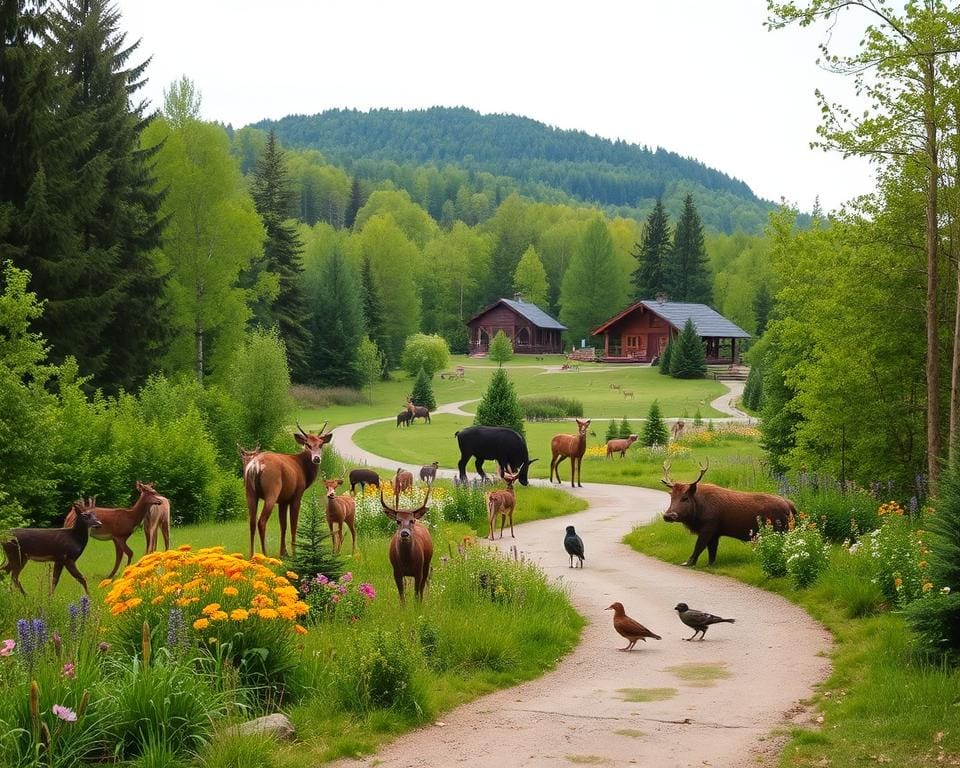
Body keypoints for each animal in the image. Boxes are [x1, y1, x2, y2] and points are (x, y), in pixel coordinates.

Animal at [244, 420, 334, 560]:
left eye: (321, 444)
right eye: (307, 444)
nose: (316, 458)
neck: (303, 470)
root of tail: (255, 465)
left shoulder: (283, 500)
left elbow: (283, 525)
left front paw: (284, 553)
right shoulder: (297, 495)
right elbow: (293, 525)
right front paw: (294, 553)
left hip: (250, 492)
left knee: (252, 522)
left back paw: (252, 555)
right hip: (272, 489)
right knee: (261, 521)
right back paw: (265, 555)